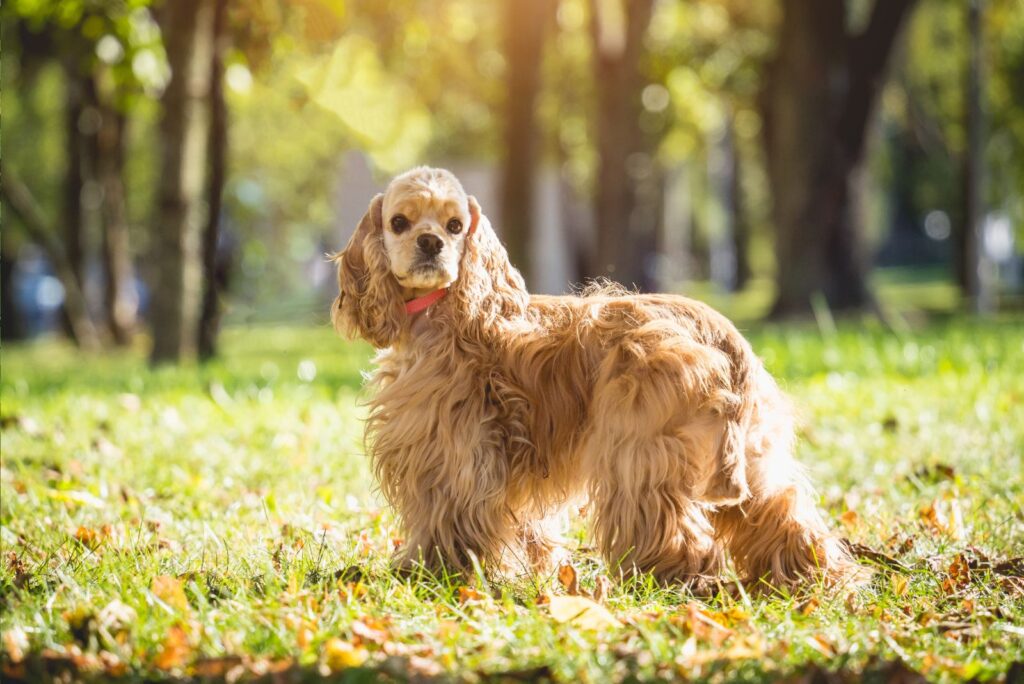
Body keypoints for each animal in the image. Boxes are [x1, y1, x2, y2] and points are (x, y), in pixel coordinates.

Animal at [331, 166, 860, 593]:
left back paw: (670, 580)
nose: (431, 242)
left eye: (455, 225)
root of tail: (722, 334)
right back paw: (815, 578)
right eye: (400, 222)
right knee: (786, 514)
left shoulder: (452, 451)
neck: (447, 310)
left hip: (639, 456)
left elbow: (446, 518)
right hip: (753, 458)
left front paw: (432, 573)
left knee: (678, 531)